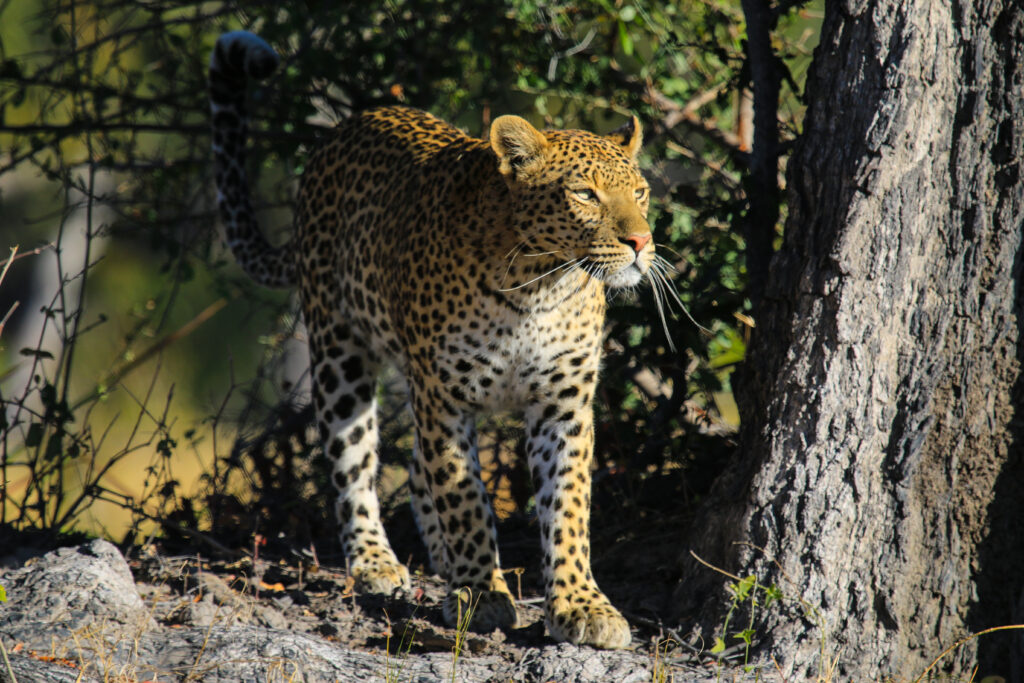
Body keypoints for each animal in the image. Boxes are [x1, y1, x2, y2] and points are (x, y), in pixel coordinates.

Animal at [209, 30, 659, 649]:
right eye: (585, 195)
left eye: (640, 192)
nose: (641, 242)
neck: (541, 286)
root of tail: (351, 124)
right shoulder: (445, 397)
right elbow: (463, 496)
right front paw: (481, 594)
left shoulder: (562, 403)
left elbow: (567, 506)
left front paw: (579, 605)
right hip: (340, 354)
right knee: (354, 462)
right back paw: (376, 562)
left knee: (419, 470)